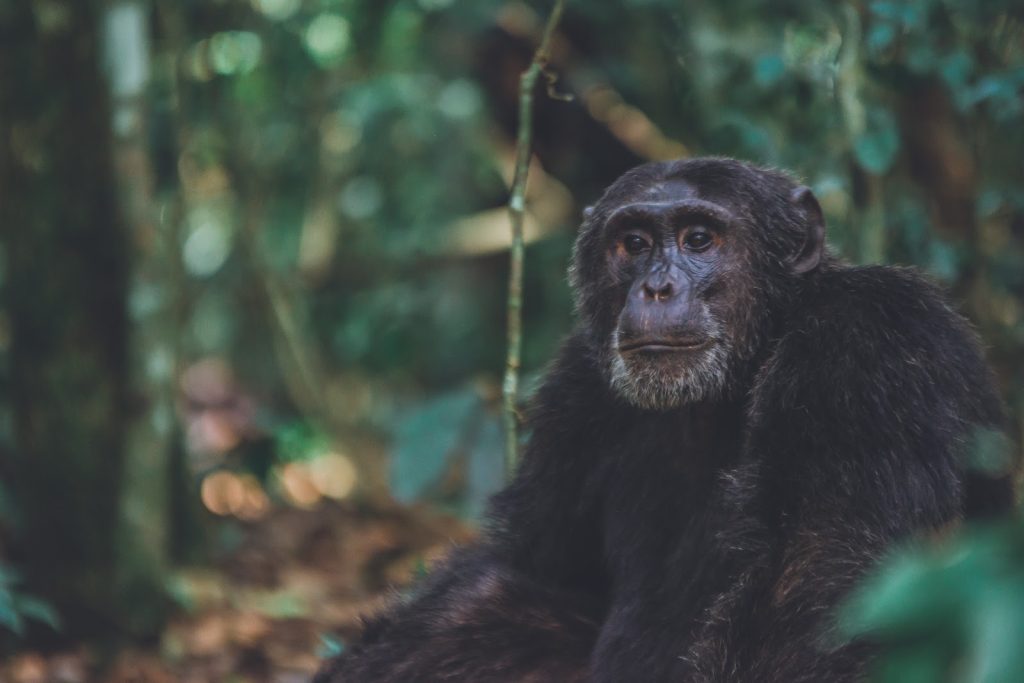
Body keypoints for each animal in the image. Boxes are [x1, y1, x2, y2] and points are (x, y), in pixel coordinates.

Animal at [314, 157, 1014, 682]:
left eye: (699, 239)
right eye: (634, 243)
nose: (655, 287)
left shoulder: (870, 346)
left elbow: (817, 596)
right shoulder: (576, 388)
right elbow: (541, 568)